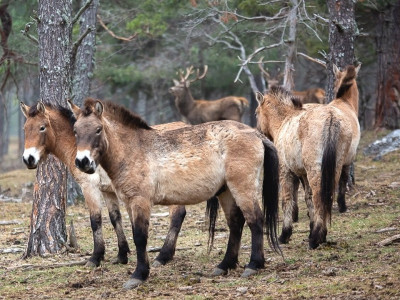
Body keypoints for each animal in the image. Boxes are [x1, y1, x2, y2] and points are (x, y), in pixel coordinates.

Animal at [20, 100, 192, 268]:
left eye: (42, 127)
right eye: (25, 129)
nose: (28, 159)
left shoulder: (90, 188)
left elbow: (95, 220)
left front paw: (96, 257)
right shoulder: (107, 191)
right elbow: (115, 218)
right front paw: (122, 255)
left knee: (176, 216)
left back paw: (163, 256)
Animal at [71, 98, 278, 288]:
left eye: (98, 129)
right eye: (75, 131)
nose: (82, 162)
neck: (133, 149)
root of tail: (254, 133)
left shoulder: (140, 201)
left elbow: (140, 237)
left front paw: (138, 276)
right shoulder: (130, 203)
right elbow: (136, 235)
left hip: (242, 187)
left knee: (255, 220)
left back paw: (253, 265)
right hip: (226, 192)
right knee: (235, 224)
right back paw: (224, 265)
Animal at [256, 65, 362, 248]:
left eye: (256, 113)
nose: (258, 131)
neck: (284, 121)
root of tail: (331, 118)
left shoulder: (286, 172)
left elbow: (287, 200)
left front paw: (285, 234)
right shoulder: (303, 174)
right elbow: (308, 199)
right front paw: (311, 227)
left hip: (315, 169)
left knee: (320, 196)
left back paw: (316, 238)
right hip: (333, 167)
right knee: (326, 196)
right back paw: (320, 234)